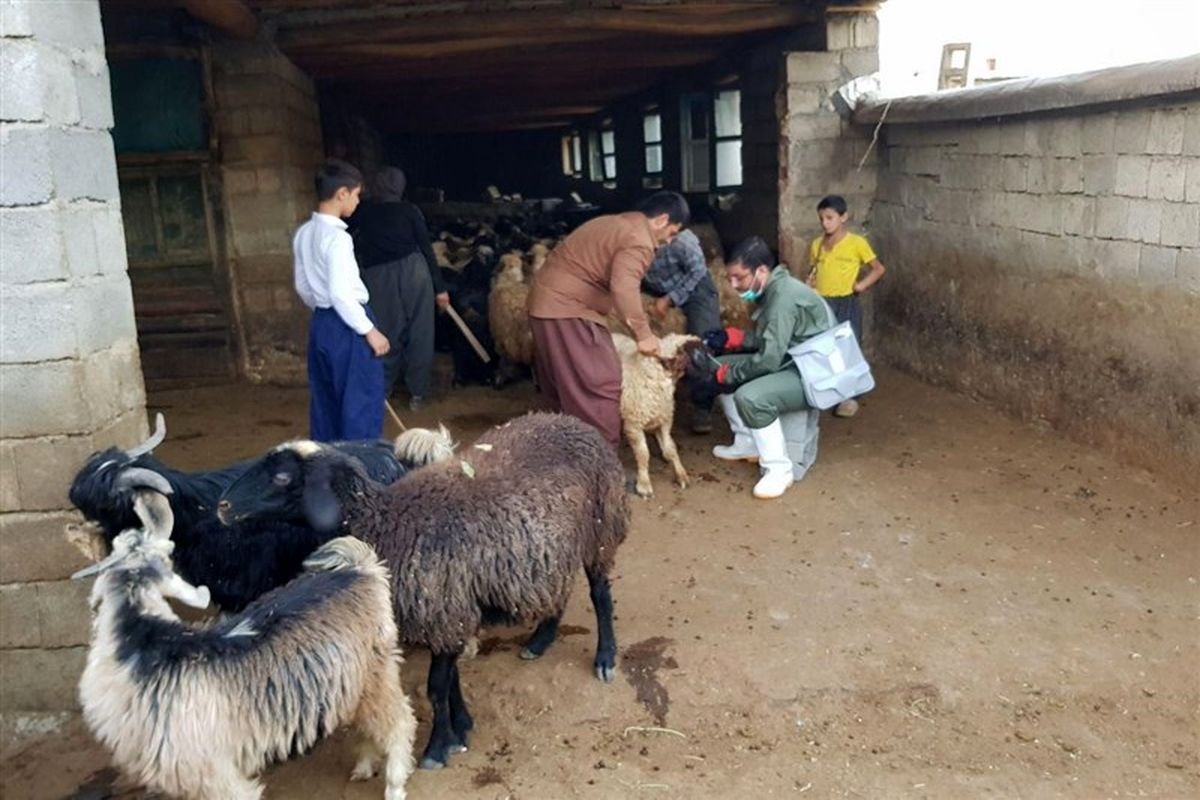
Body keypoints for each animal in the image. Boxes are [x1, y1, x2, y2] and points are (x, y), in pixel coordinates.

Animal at [75, 489, 415, 800]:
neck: (146, 641)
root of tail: (360, 568)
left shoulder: (216, 772)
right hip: (353, 684)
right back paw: (364, 766)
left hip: (378, 674)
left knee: (400, 722)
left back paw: (394, 786)